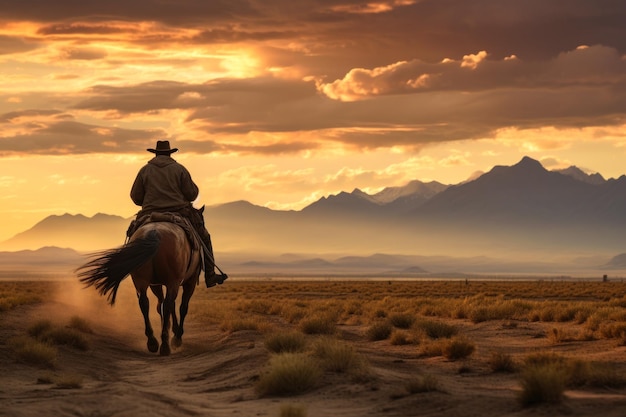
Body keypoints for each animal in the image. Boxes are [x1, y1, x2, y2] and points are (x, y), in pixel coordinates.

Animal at [75, 211, 202, 354]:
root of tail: (154, 233)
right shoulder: (189, 281)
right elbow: (182, 307)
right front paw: (177, 337)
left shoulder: (156, 284)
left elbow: (162, 305)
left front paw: (171, 329)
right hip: (172, 281)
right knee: (168, 304)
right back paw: (165, 344)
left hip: (141, 280)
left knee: (145, 303)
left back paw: (153, 341)